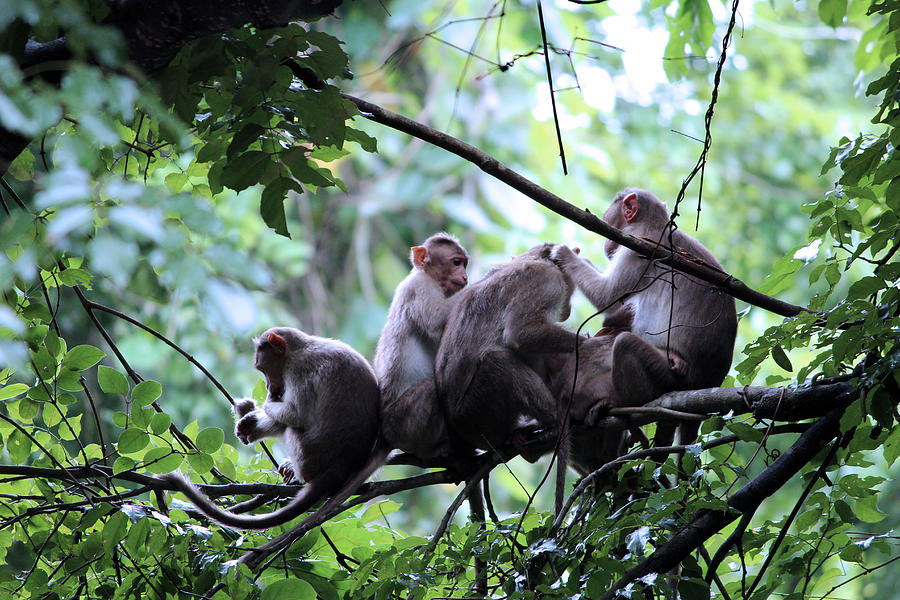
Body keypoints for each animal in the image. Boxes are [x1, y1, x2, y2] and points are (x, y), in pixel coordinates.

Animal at [162, 328, 384, 528]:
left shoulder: (298, 371)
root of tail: (341, 467)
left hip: (309, 457)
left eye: (264, 369)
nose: (269, 387)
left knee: (291, 427)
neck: (299, 349)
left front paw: (264, 405)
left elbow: (297, 414)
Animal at [436, 244, 584, 464]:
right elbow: (521, 332)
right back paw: (556, 419)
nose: (568, 310)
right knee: (500, 361)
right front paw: (588, 343)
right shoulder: (547, 280)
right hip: (478, 416)